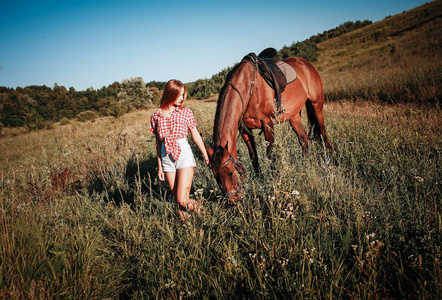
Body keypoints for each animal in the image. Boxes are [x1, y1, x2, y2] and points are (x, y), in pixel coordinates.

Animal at [205, 50, 334, 204]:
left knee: (323, 135)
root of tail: (306, 64)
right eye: (216, 177)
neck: (248, 87)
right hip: (294, 116)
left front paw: (274, 182)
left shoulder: (268, 123)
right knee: (303, 139)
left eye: (230, 173)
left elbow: (270, 155)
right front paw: (261, 181)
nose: (232, 202)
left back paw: (329, 162)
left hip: (316, 106)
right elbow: (253, 157)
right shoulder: (245, 131)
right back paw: (304, 165)